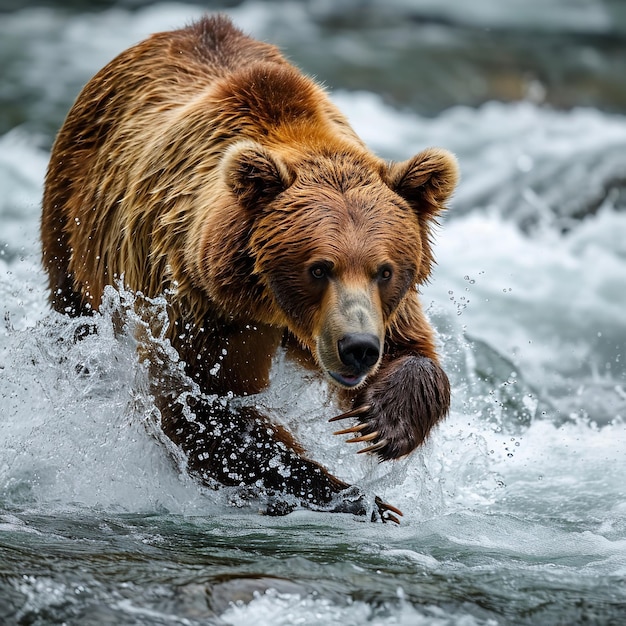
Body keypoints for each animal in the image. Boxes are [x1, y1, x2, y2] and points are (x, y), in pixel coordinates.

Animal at [41, 15, 456, 520]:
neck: (270, 306)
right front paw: (360, 499)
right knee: (75, 321)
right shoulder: (197, 303)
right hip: (73, 229)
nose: (357, 348)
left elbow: (414, 351)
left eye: (385, 270)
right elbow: (202, 409)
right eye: (319, 268)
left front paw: (379, 422)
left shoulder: (386, 308)